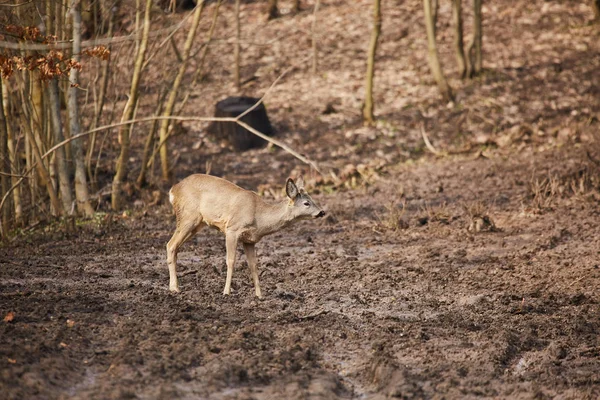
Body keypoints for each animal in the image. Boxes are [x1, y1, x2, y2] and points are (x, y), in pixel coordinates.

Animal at [165, 175, 324, 296]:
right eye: (306, 203)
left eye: (312, 199)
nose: (322, 212)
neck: (258, 217)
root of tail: (173, 190)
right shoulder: (232, 229)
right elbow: (230, 261)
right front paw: (226, 292)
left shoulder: (249, 240)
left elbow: (253, 265)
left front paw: (259, 295)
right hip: (188, 216)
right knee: (170, 244)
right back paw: (174, 288)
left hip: (197, 223)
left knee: (174, 246)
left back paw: (175, 286)